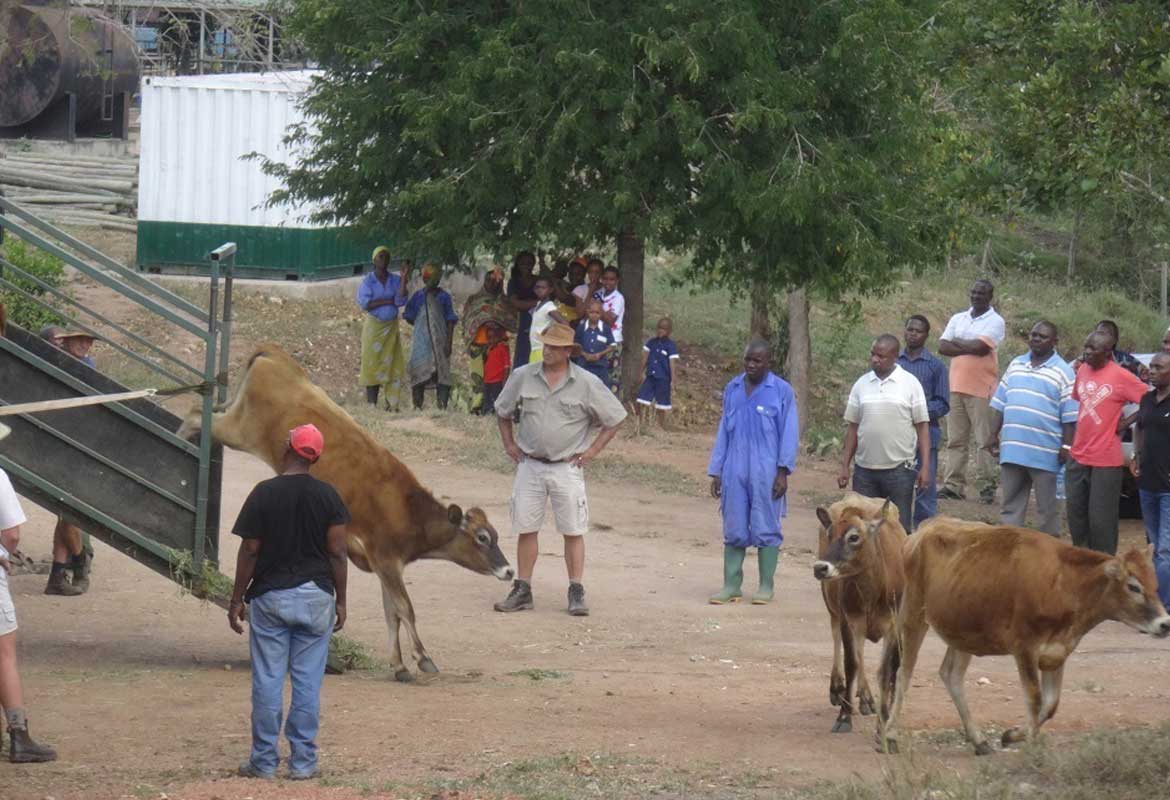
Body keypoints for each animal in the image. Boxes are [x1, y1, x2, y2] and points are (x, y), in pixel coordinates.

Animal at [177, 343, 512, 683]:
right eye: (482, 538)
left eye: (496, 534)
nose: (510, 571)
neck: (407, 508)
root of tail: (275, 355)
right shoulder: (385, 559)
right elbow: (405, 608)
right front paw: (423, 658)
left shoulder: (384, 565)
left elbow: (392, 613)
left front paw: (400, 665)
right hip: (238, 430)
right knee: (196, 414)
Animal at [814, 495, 903, 734]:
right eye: (830, 533)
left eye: (854, 537)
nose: (820, 568)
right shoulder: (849, 620)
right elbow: (852, 663)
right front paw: (844, 717)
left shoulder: (894, 624)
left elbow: (887, 668)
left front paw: (885, 718)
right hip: (833, 608)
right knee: (841, 641)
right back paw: (839, 690)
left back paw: (867, 700)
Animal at [879, 519, 1170, 757]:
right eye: (1133, 586)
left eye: (1155, 585)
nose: (1164, 623)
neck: (1064, 582)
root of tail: (923, 530)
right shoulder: (1025, 648)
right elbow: (1035, 698)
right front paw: (1030, 744)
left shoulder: (1056, 654)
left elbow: (1050, 705)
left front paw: (1013, 735)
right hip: (913, 614)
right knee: (904, 673)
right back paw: (890, 735)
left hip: (963, 631)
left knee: (951, 675)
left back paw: (978, 740)